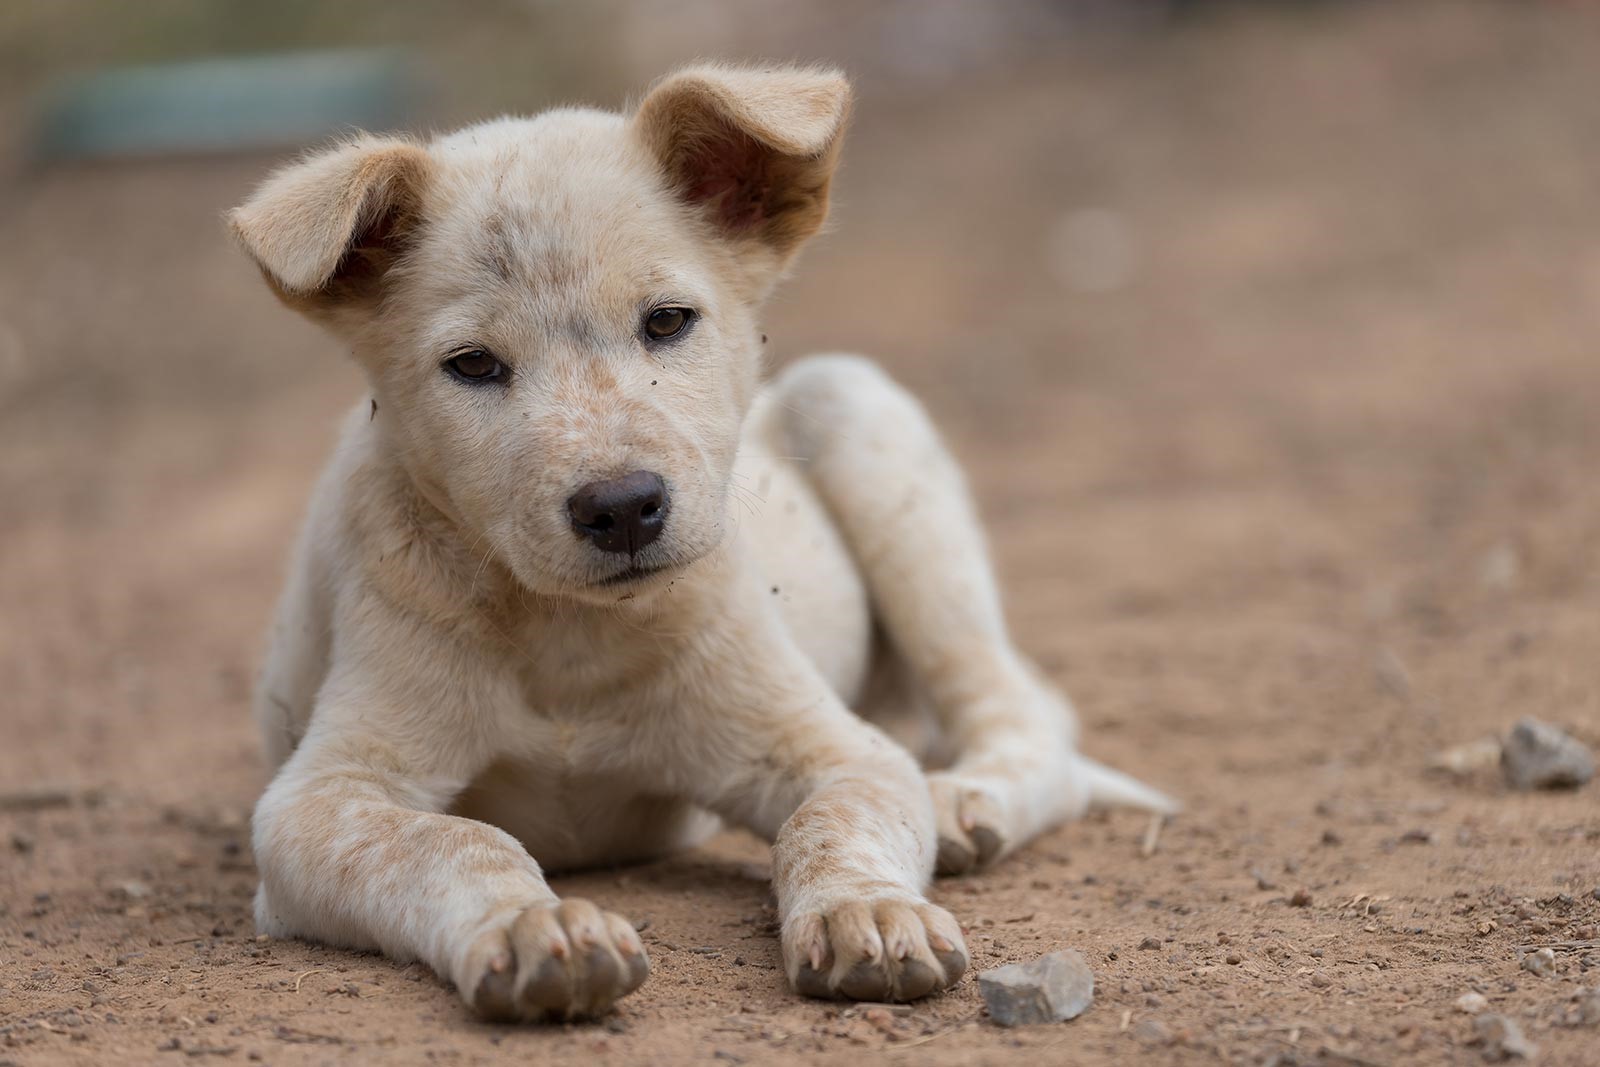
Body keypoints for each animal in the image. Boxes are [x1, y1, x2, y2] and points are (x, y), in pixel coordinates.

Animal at [228, 60, 1177, 1023]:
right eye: (473, 365)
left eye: (667, 320)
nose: (620, 507)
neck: (571, 637)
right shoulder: (320, 798)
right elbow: (457, 841)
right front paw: (540, 929)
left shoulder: (835, 748)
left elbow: (827, 822)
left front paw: (868, 914)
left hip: (858, 412)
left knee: (1026, 715)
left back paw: (961, 803)